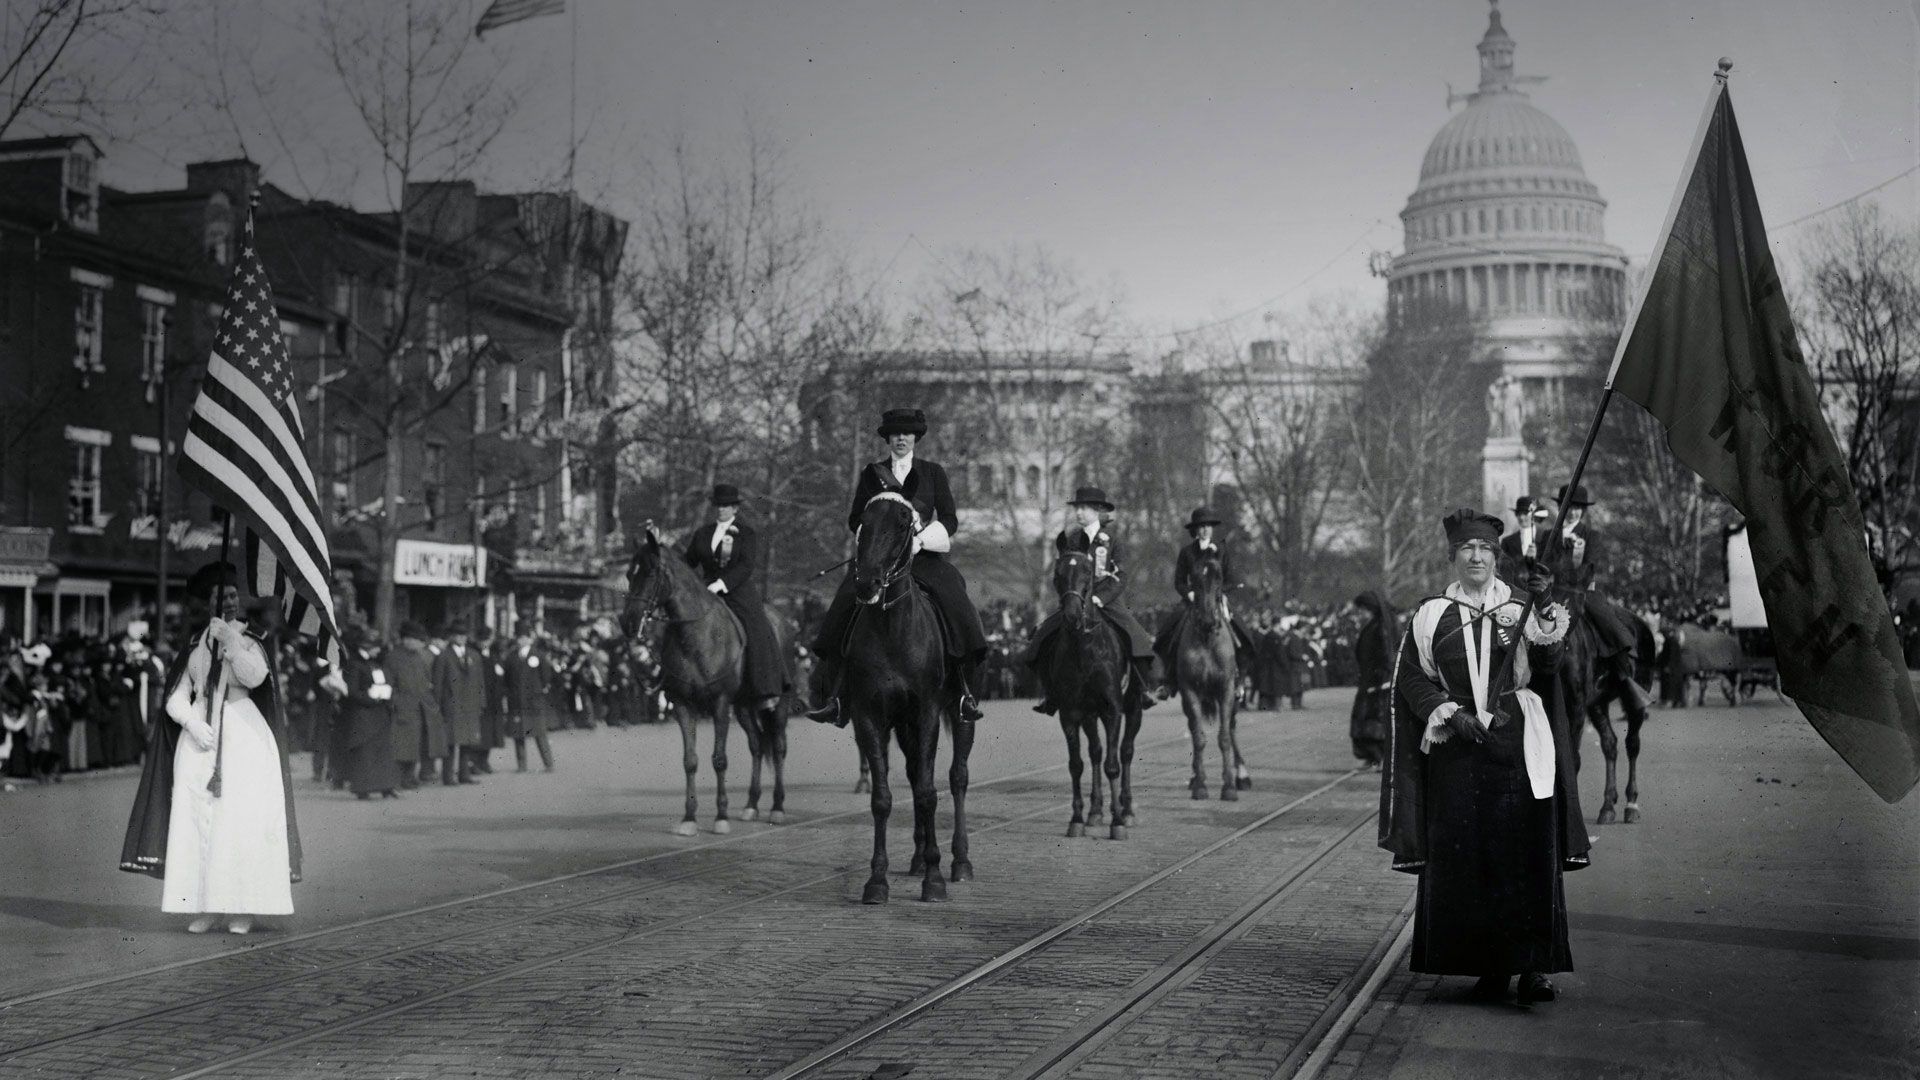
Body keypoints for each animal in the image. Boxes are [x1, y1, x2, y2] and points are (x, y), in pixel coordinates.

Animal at [622, 522, 787, 834]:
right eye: (628, 574)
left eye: (650, 572)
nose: (627, 623)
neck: (697, 635)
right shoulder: (682, 704)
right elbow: (690, 761)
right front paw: (689, 818)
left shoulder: (720, 703)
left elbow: (719, 760)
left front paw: (721, 817)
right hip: (744, 705)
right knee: (757, 745)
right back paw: (751, 804)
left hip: (777, 702)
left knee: (779, 746)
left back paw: (777, 806)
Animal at [848, 495, 975, 899]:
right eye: (863, 522)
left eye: (904, 524)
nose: (866, 583)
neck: (893, 628)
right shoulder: (870, 716)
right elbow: (883, 798)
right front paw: (877, 879)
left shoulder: (928, 712)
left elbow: (927, 792)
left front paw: (934, 879)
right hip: (903, 727)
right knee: (915, 769)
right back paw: (919, 857)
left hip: (960, 712)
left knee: (957, 777)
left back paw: (959, 861)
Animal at [1044, 549, 1144, 837]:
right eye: (1058, 573)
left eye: (1087, 572)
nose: (1072, 616)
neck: (1085, 649)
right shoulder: (1070, 712)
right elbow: (1076, 764)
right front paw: (1077, 818)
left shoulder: (1113, 710)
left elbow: (1114, 765)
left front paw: (1118, 822)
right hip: (1089, 716)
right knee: (1096, 753)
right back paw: (1096, 811)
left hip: (1134, 710)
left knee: (1125, 752)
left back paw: (1126, 810)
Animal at [1167, 549, 1244, 795]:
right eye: (1195, 578)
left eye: (1218, 577)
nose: (1209, 619)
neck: (1207, 638)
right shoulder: (1190, 690)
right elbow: (1198, 737)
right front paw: (1200, 784)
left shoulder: (1226, 688)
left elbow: (1225, 736)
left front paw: (1229, 786)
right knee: (1193, 728)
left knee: (1231, 727)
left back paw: (1242, 775)